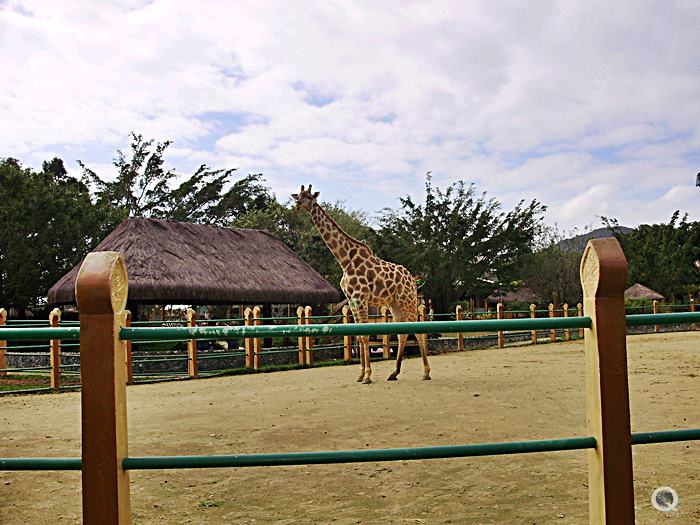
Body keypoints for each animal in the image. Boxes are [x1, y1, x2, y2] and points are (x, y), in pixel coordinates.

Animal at [292, 183, 432, 380]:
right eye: (298, 195)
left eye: (310, 197)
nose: (297, 205)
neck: (345, 260)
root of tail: (412, 279)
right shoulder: (351, 300)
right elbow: (358, 335)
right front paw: (360, 375)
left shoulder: (360, 297)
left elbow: (365, 335)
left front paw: (367, 376)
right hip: (394, 303)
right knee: (402, 333)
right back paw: (394, 373)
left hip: (408, 300)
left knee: (418, 330)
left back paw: (426, 372)